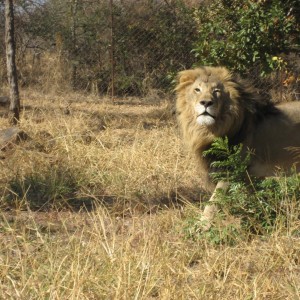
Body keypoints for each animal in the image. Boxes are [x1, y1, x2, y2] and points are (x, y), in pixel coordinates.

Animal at [176, 66, 300, 227]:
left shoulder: (231, 171)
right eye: (197, 90)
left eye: (216, 91)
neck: (210, 131)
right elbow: (258, 200)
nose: (206, 103)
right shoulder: (249, 176)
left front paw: (201, 227)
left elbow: (213, 204)